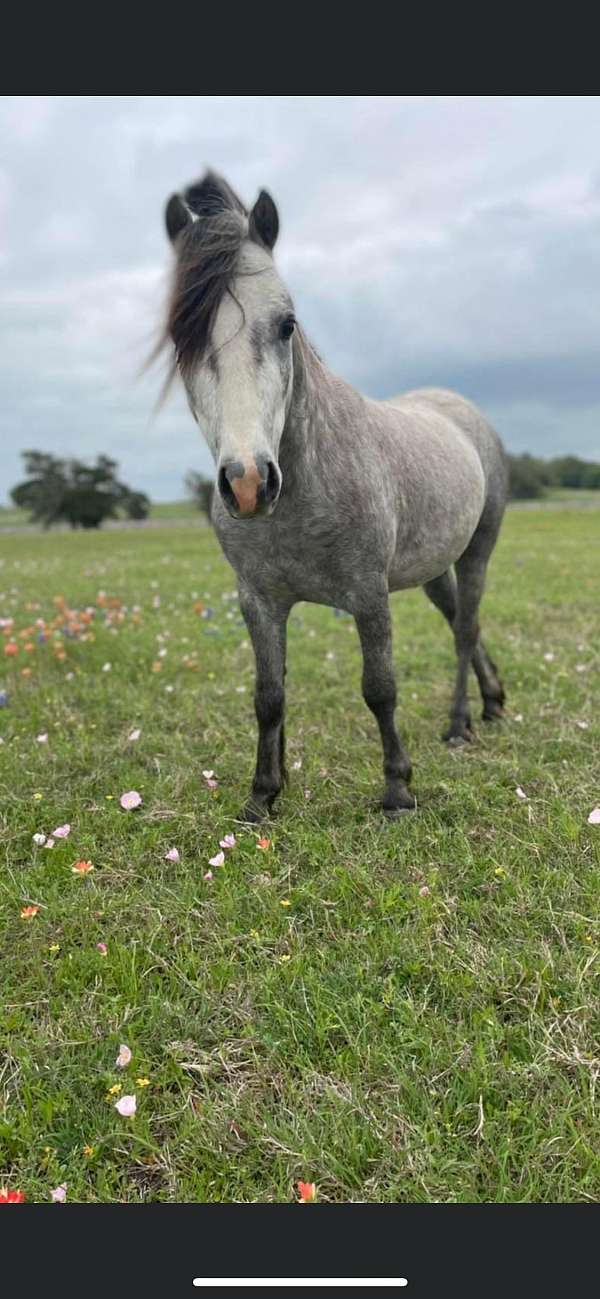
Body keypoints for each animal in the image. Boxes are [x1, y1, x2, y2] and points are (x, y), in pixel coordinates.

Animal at [157, 171, 508, 821]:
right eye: (178, 337)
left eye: (286, 324)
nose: (249, 482)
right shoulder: (258, 600)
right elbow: (269, 695)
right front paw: (263, 794)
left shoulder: (368, 595)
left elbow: (380, 688)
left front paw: (397, 791)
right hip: (433, 568)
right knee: (459, 625)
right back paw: (493, 701)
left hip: (478, 550)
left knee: (465, 629)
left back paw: (459, 724)